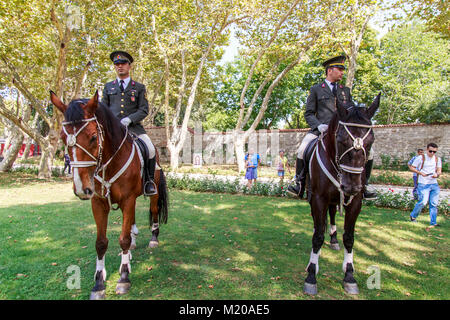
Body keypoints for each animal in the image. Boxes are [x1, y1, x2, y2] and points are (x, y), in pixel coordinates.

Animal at [49, 90, 169, 300]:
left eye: (92, 137)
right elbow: (101, 243)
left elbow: (123, 239)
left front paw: (124, 278)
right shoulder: (98, 202)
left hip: (150, 193)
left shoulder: (128, 199)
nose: (81, 189)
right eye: (63, 138)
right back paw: (131, 247)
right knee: (131, 223)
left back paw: (153, 239)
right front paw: (98, 284)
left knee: (153, 211)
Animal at [302, 94, 380, 296]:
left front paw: (349, 275)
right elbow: (317, 236)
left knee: (331, 216)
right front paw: (311, 275)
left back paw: (333, 239)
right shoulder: (318, 198)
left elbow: (349, 237)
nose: (351, 187)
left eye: (370, 142)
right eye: (340, 139)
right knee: (318, 223)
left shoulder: (355, 202)